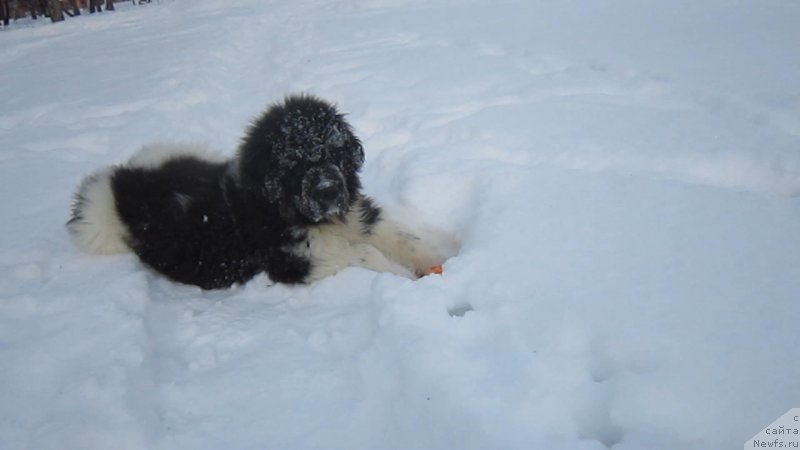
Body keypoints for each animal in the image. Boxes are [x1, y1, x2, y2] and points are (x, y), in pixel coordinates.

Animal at [67, 95, 456, 290]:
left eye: (333, 152)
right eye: (293, 164)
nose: (329, 191)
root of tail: (120, 186)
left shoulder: (358, 214)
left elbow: (401, 236)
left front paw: (446, 259)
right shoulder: (295, 262)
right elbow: (364, 254)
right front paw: (406, 281)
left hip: (174, 152)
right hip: (97, 228)